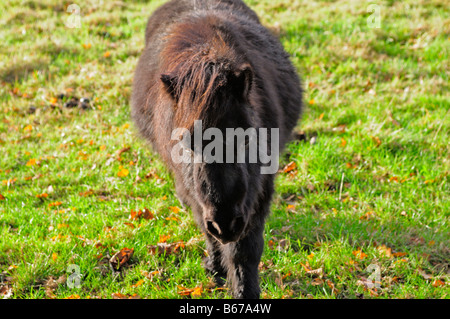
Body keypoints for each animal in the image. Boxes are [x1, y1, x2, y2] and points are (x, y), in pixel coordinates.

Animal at [132, 0, 304, 300]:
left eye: (245, 138)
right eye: (187, 143)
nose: (225, 223)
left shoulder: (259, 190)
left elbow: (244, 251)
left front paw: (245, 293)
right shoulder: (195, 193)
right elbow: (207, 230)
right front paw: (216, 269)